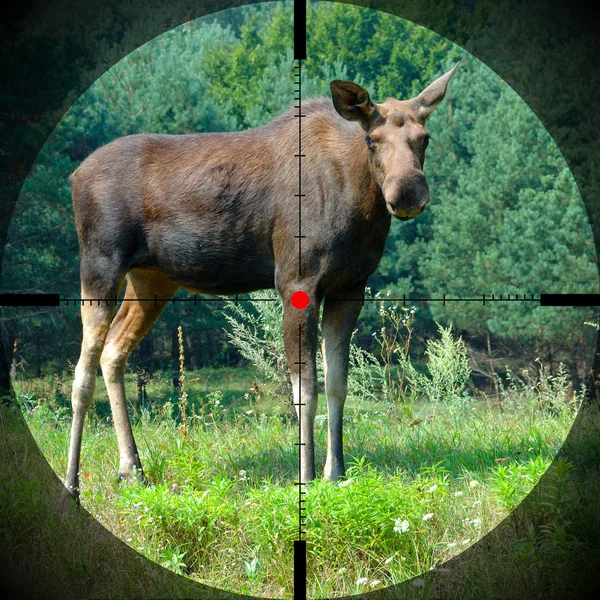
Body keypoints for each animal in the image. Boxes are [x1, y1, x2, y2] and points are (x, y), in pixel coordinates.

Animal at [64, 64, 460, 502]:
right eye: (372, 140)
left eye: (424, 138)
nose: (407, 193)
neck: (361, 207)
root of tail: (75, 175)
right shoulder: (296, 282)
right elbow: (305, 391)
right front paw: (306, 476)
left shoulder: (350, 287)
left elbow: (338, 384)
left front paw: (336, 472)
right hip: (100, 263)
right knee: (81, 373)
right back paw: (72, 481)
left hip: (153, 278)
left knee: (113, 351)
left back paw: (132, 469)